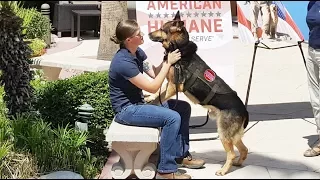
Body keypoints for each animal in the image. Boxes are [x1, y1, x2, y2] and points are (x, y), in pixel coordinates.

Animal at [146, 11, 250, 176]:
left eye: (162, 29)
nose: (148, 34)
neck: (178, 47)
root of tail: (243, 110)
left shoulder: (174, 86)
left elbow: (161, 95)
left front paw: (152, 103)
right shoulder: (169, 83)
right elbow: (158, 91)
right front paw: (150, 97)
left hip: (223, 133)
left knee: (232, 153)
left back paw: (223, 170)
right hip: (232, 134)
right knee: (244, 149)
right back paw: (238, 164)